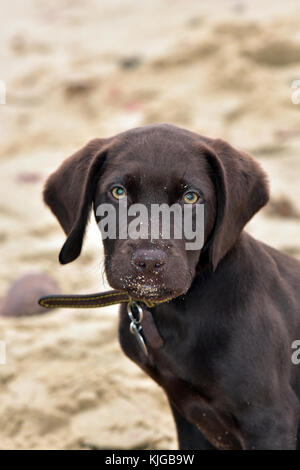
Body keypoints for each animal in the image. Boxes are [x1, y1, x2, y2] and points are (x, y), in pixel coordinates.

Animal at [42, 123, 300, 450]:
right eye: (118, 192)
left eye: (190, 197)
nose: (149, 262)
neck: (179, 312)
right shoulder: (188, 413)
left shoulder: (270, 418)